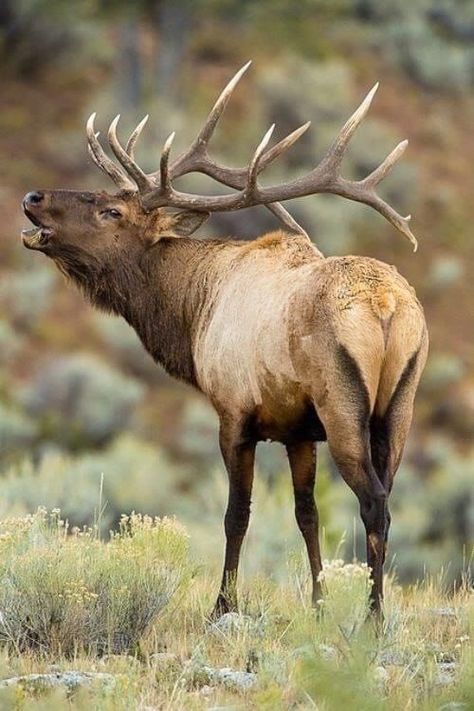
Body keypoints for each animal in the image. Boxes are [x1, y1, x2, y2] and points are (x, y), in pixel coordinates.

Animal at [22, 64, 428, 620]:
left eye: (112, 212)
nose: (32, 198)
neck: (192, 316)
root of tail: (386, 304)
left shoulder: (234, 412)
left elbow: (237, 514)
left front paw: (222, 604)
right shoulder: (298, 430)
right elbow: (307, 513)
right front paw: (318, 603)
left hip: (343, 405)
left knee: (374, 502)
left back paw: (374, 617)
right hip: (401, 404)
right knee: (387, 496)